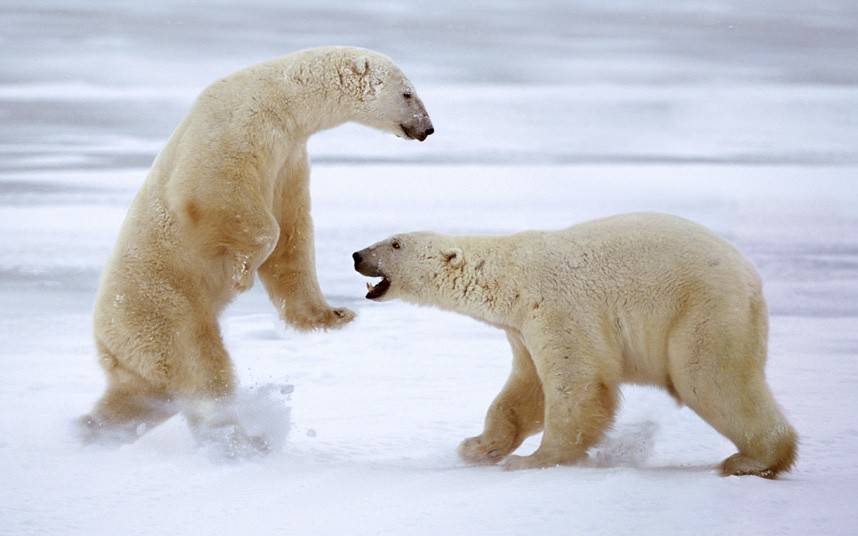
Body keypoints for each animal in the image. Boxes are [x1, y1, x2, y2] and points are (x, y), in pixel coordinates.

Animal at [82, 46, 434, 450]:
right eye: (408, 93)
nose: (428, 129)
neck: (281, 95)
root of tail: (104, 339)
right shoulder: (238, 127)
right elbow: (221, 196)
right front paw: (242, 273)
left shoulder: (290, 155)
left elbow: (293, 233)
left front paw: (335, 314)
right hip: (163, 307)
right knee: (198, 364)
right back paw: (242, 440)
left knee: (142, 396)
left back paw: (90, 429)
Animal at [352, 211, 796, 476]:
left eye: (395, 243)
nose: (357, 255)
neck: (511, 277)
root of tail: (751, 278)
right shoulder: (521, 328)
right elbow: (523, 393)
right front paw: (477, 447)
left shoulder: (558, 307)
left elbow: (577, 385)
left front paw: (532, 460)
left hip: (704, 311)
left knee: (710, 380)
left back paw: (753, 459)